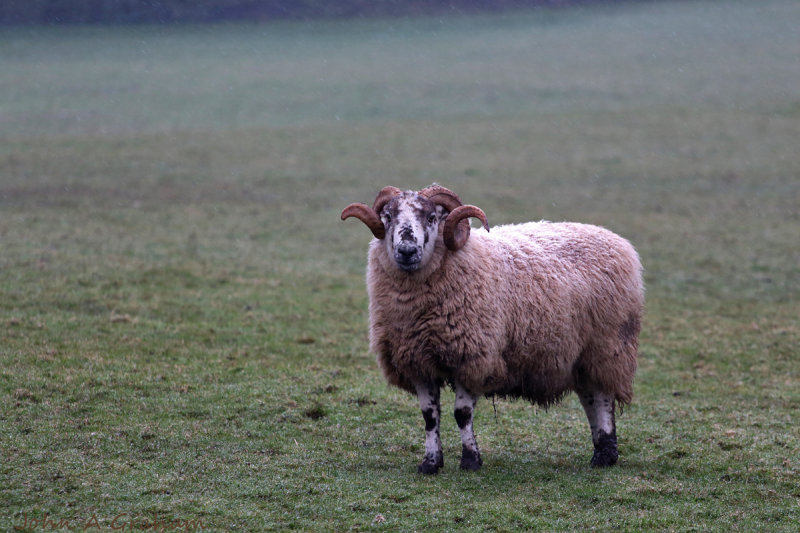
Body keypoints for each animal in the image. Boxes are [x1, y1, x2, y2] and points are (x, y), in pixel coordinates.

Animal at [340, 185, 640, 472]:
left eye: (432, 217)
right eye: (388, 216)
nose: (406, 251)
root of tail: (619, 241)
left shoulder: (473, 356)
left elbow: (462, 414)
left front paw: (470, 461)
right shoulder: (418, 362)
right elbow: (429, 416)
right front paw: (430, 463)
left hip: (607, 346)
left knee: (602, 398)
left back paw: (604, 456)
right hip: (581, 357)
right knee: (590, 398)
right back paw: (602, 451)